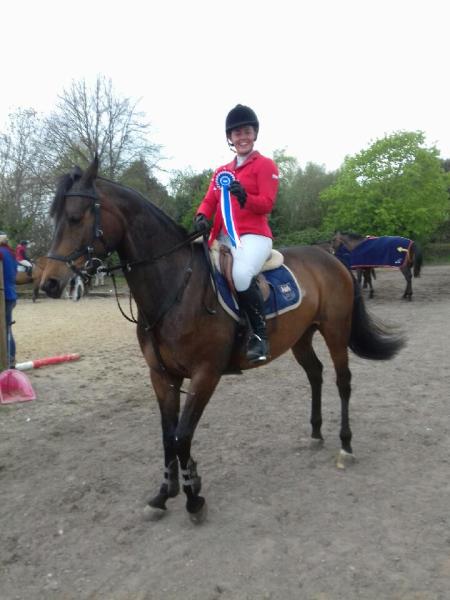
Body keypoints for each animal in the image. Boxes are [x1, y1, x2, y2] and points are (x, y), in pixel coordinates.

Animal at [41, 157, 404, 524]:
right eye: (54, 218)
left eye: (76, 217)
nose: (49, 283)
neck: (176, 287)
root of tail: (332, 259)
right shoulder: (162, 376)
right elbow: (167, 437)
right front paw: (165, 493)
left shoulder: (205, 374)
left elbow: (182, 435)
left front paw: (193, 498)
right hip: (301, 336)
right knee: (315, 374)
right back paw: (316, 434)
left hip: (335, 330)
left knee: (343, 380)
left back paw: (345, 446)